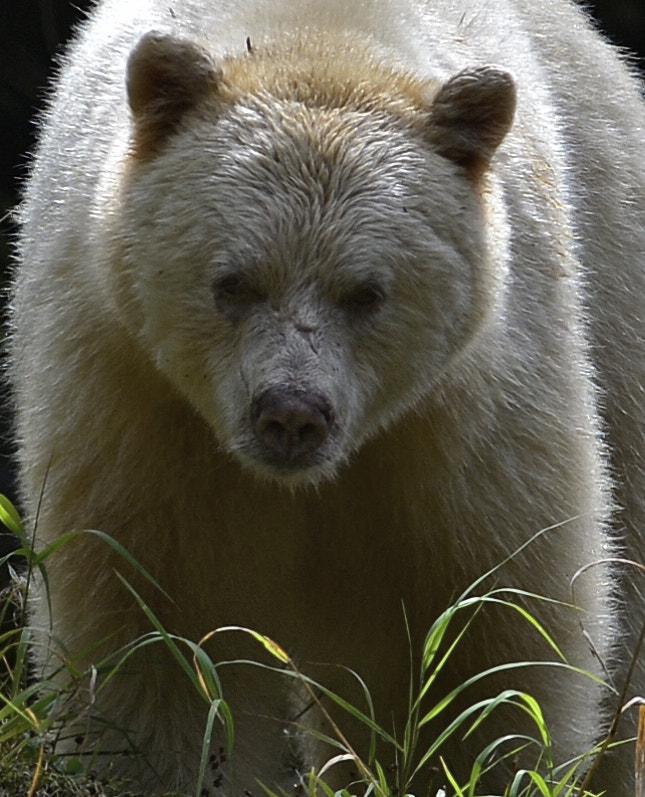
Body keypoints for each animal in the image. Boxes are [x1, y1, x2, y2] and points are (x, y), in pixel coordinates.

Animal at [8, 1, 644, 796]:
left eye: (366, 292)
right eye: (233, 282)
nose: (291, 414)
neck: (318, 40)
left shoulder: (469, 413)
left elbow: (476, 632)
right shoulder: (133, 396)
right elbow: (158, 629)